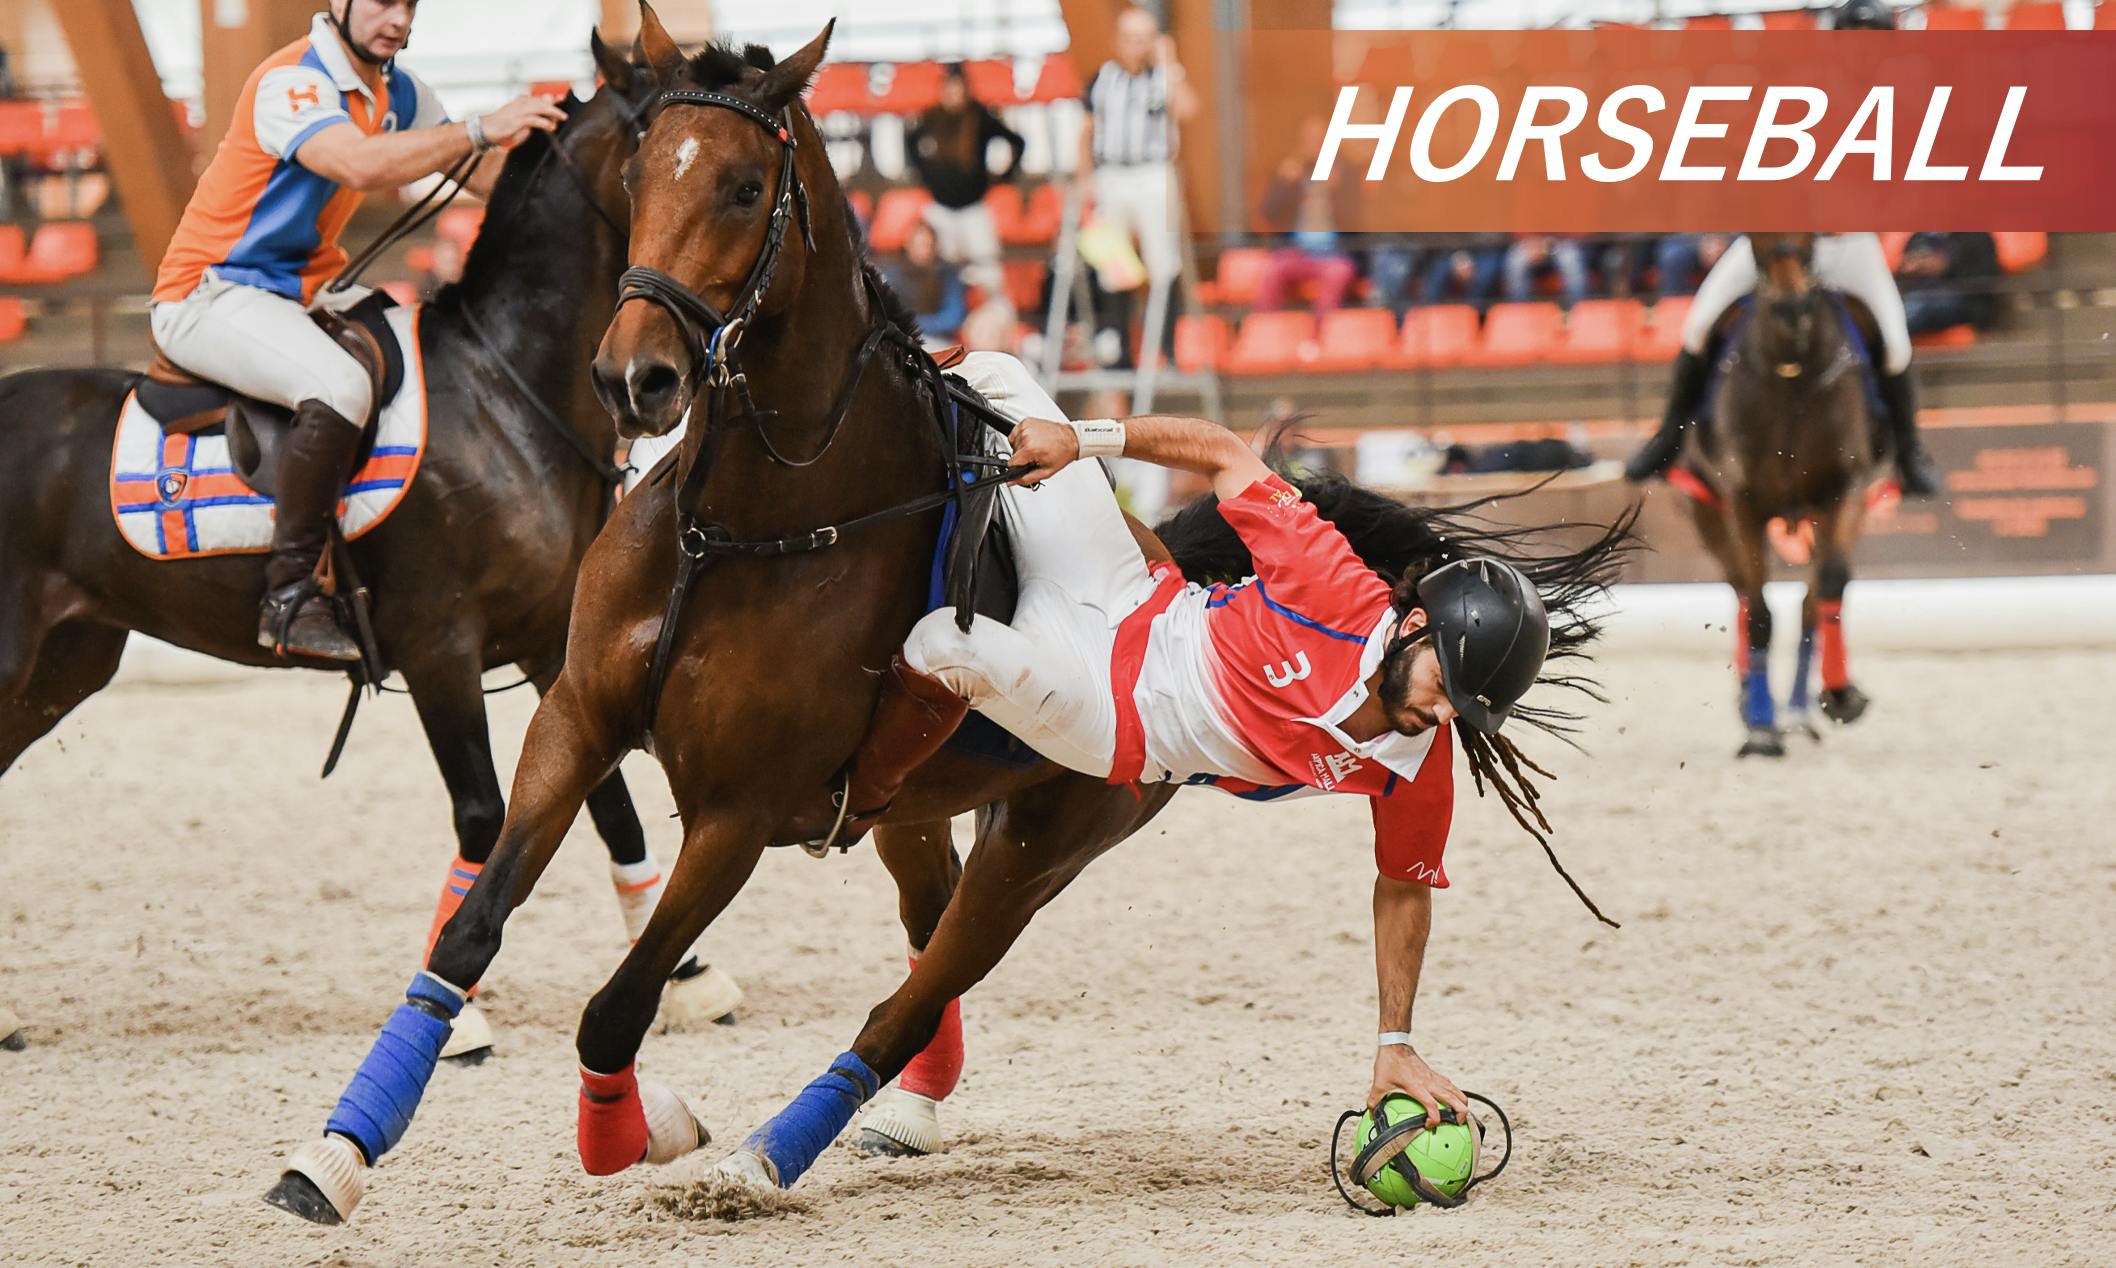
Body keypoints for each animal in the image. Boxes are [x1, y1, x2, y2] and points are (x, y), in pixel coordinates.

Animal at [0, 34, 732, 1058]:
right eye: (653, 155)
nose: (657, 380)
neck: (507, 393)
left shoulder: (556, 647)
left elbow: (611, 808)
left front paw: (696, 979)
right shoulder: (438, 649)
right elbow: (485, 817)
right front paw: (454, 1018)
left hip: (63, 665)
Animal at [1684, 232, 1887, 757]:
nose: (1792, 309)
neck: (1790, 371)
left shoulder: (1843, 490)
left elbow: (1828, 587)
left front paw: (1840, 696)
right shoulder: (1742, 502)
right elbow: (1758, 613)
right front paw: (1759, 730)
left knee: (1811, 602)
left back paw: (1797, 714)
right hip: (1708, 514)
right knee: (1740, 592)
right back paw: (1756, 709)